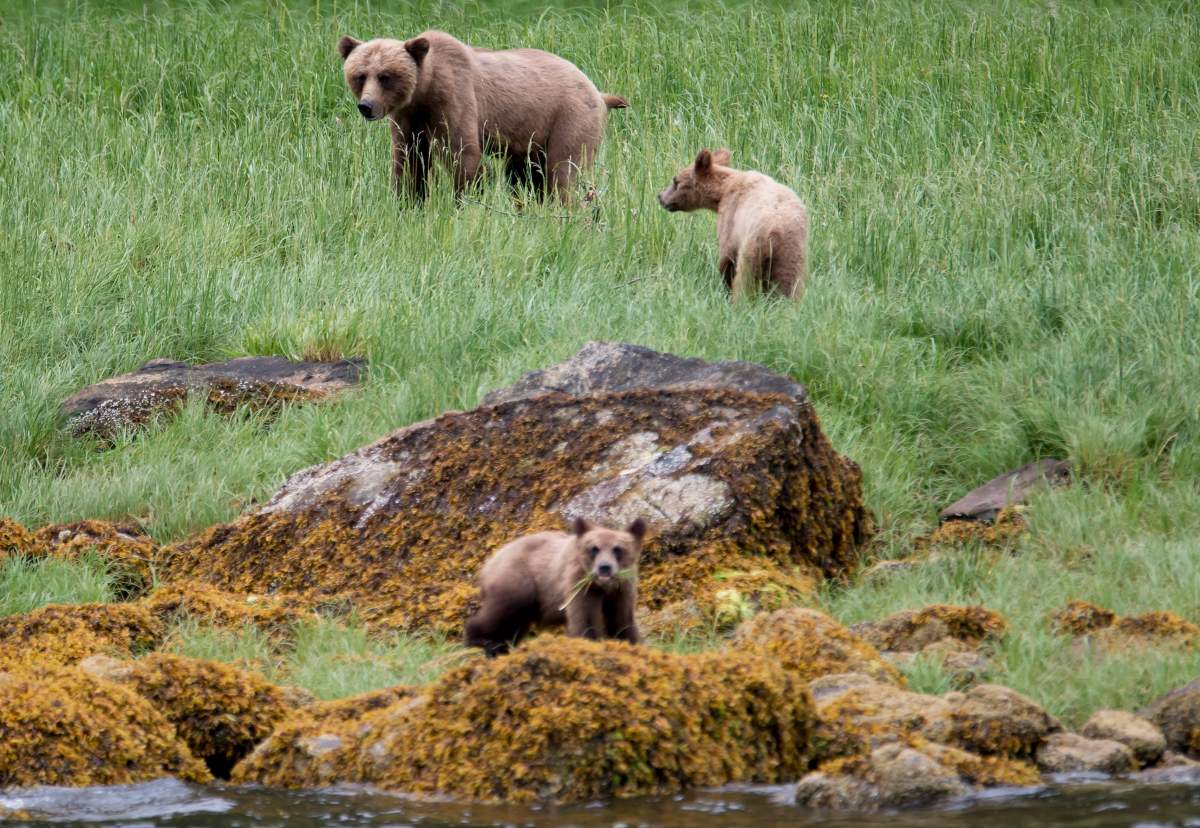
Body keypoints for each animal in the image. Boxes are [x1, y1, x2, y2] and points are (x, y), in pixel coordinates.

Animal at [337, 30, 628, 203]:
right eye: (360, 75)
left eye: (385, 76)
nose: (366, 106)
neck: (424, 90)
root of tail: (599, 92)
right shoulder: (408, 118)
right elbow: (409, 160)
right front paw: (408, 202)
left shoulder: (454, 98)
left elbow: (463, 154)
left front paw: (465, 201)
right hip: (533, 138)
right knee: (526, 177)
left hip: (570, 116)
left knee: (563, 171)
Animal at [464, 517, 645, 657]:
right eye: (594, 548)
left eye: (617, 549)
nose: (604, 567)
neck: (603, 587)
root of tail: (488, 564)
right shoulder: (579, 585)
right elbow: (584, 618)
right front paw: (589, 643)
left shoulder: (622, 590)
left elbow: (622, 620)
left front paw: (632, 643)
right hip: (518, 582)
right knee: (500, 613)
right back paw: (483, 640)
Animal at [658, 148, 808, 300]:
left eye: (675, 181)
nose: (660, 196)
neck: (722, 191)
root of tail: (776, 230)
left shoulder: (730, 216)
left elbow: (727, 255)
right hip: (792, 251)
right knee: (790, 282)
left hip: (753, 245)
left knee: (745, 278)